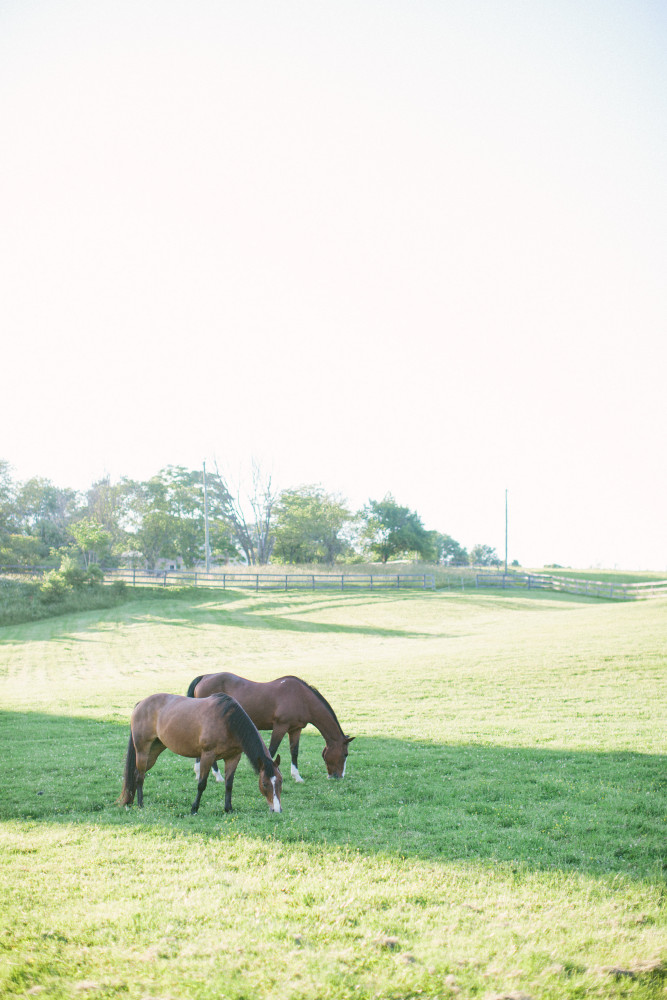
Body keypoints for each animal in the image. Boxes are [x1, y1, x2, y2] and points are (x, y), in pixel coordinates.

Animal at [118, 692, 284, 816]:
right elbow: (201, 784)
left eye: (281, 781)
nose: (277, 809)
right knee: (139, 776)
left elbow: (229, 784)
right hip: (142, 750)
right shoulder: (207, 756)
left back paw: (131, 802)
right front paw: (194, 809)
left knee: (137, 773)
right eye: (264, 783)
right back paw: (140, 805)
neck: (227, 721)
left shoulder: (233, 757)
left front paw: (228, 808)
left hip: (154, 752)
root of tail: (141, 704)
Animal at [185, 672, 352, 780]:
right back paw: (217, 776)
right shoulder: (280, 727)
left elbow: (294, 752)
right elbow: (272, 750)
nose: (339, 777)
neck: (301, 697)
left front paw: (297, 776)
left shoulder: (295, 729)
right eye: (345, 754)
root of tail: (204, 677)